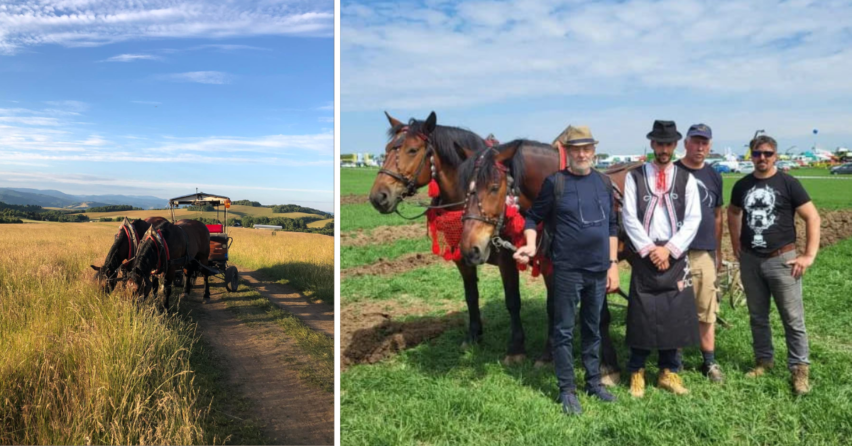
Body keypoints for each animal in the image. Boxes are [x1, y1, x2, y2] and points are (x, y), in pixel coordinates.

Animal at [368, 110, 528, 362]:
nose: (378, 196)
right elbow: (471, 295)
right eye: (387, 148)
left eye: (412, 150)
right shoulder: (462, 257)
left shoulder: (507, 259)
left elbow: (513, 300)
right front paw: (473, 335)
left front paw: (516, 347)